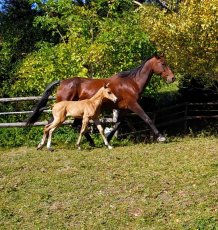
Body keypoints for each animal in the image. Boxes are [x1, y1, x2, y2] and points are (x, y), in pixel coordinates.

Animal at [27, 54, 175, 144]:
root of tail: (62, 82)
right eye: (163, 63)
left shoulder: (124, 109)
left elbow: (118, 124)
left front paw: (108, 139)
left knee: (71, 125)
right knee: (53, 124)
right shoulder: (134, 105)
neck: (131, 83)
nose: (172, 78)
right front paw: (161, 137)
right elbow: (147, 119)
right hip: (62, 111)